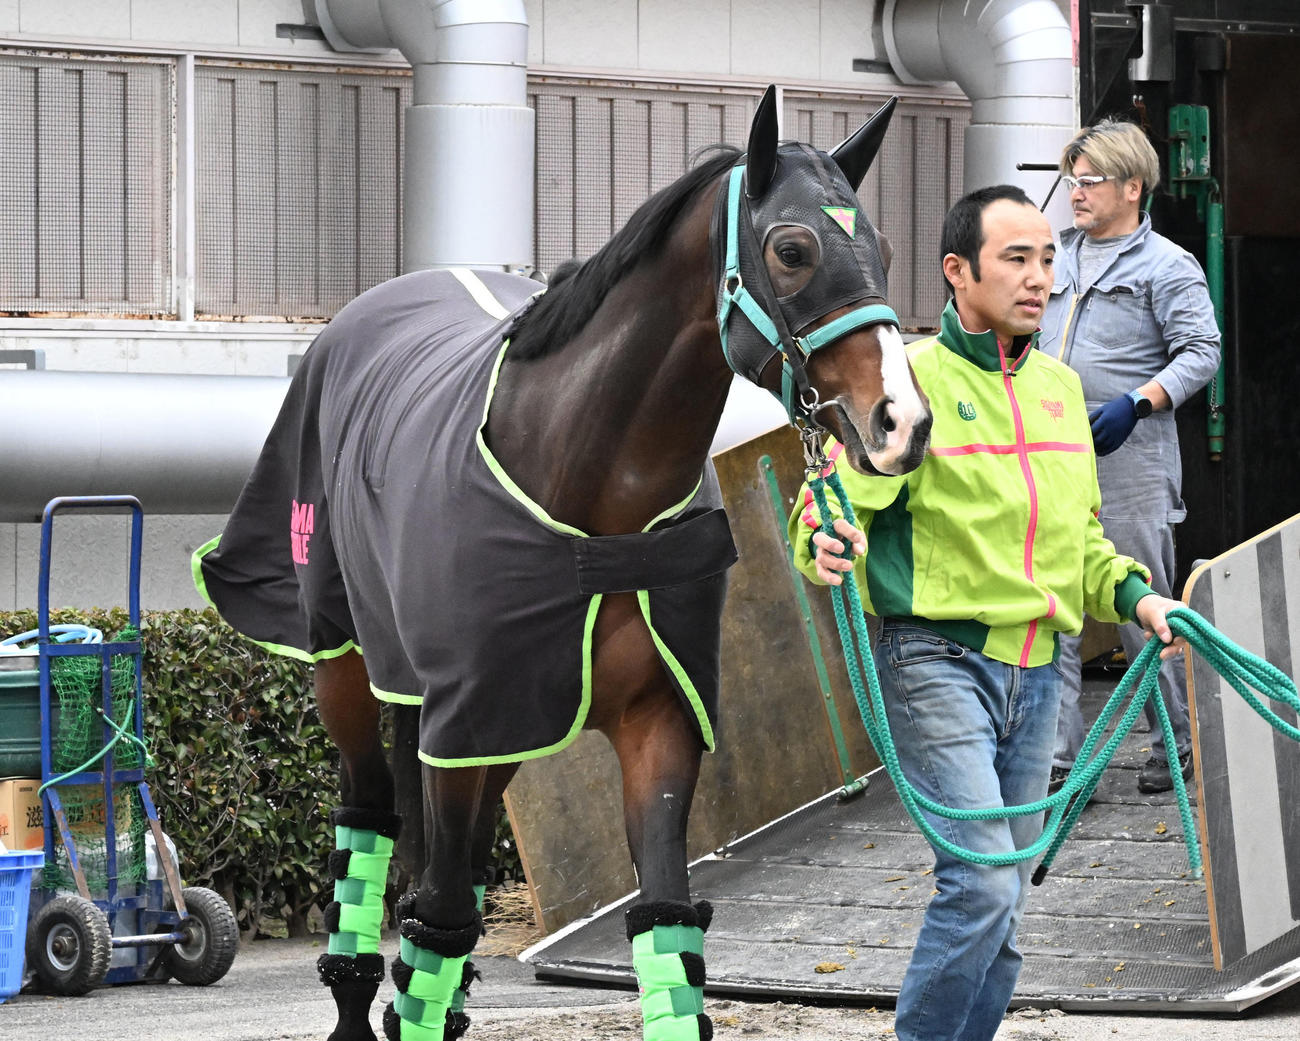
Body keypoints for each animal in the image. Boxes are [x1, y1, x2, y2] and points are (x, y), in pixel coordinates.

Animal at [193, 84, 931, 1041]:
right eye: (793, 249)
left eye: (883, 249)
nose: (903, 422)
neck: (588, 504)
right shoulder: (460, 727)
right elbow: (438, 918)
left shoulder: (652, 719)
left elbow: (663, 927)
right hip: (346, 671)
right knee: (371, 822)